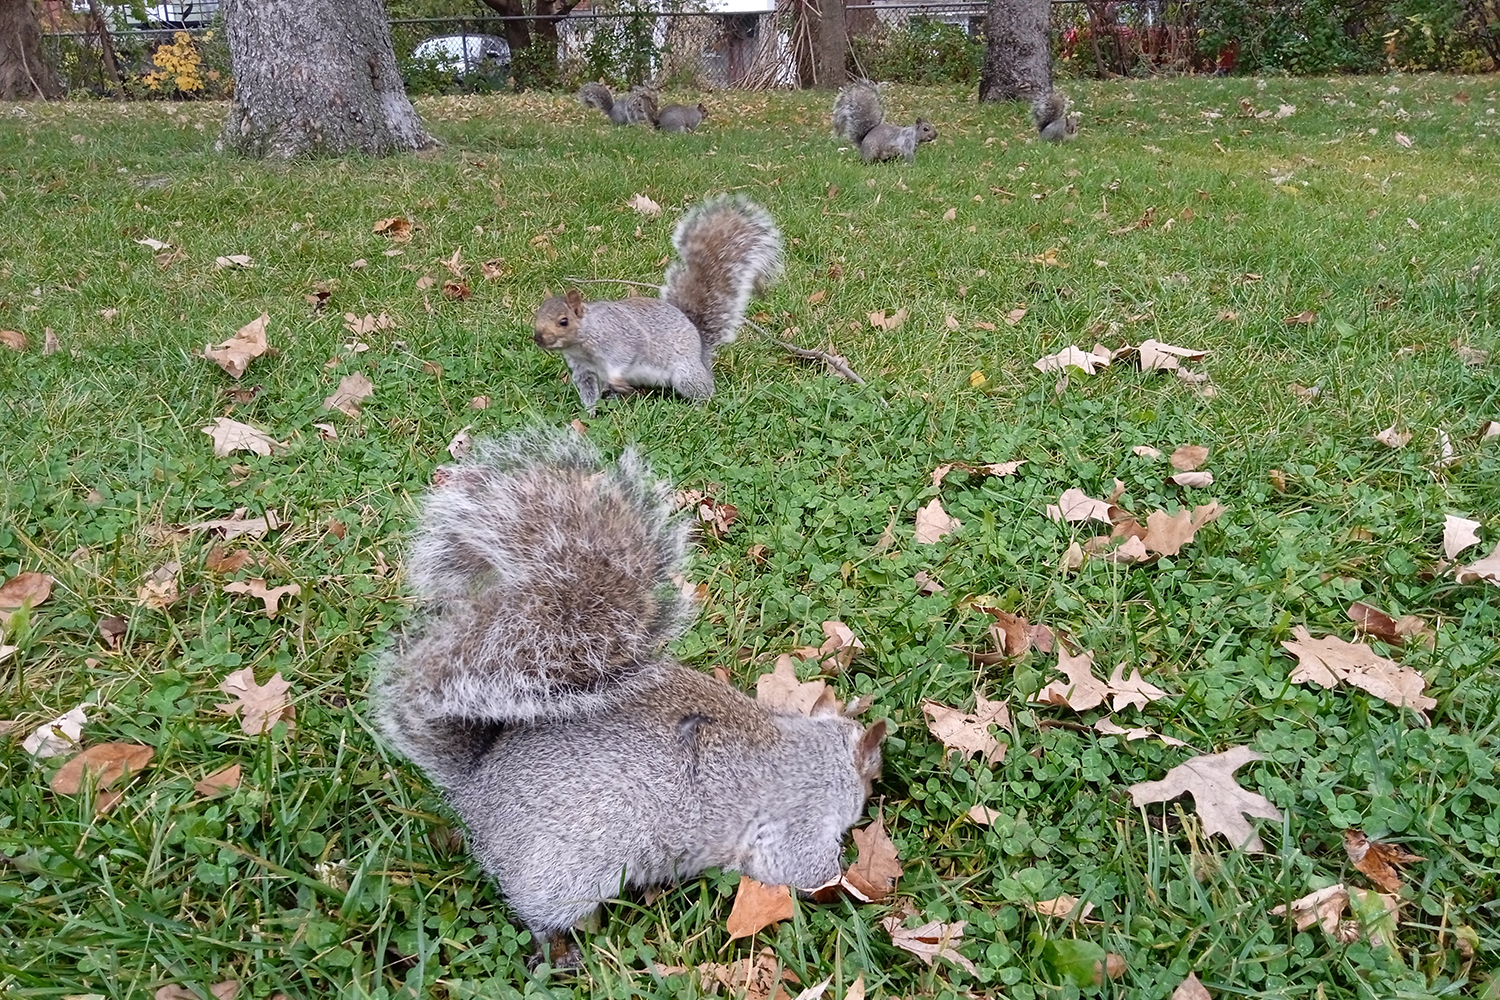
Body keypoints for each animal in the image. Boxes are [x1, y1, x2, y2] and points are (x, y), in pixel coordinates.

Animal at [373, 428, 882, 971]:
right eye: (872, 773)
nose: (877, 787)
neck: (815, 748)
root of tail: (474, 791)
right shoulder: (798, 823)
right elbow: (807, 869)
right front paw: (856, 886)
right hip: (567, 871)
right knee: (540, 914)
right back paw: (562, 952)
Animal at [531, 193, 786, 413]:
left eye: (564, 321)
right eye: (537, 316)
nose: (538, 338)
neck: (584, 338)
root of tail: (701, 349)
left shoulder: (620, 339)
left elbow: (624, 357)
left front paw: (615, 380)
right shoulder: (583, 370)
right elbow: (588, 390)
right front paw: (591, 412)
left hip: (686, 374)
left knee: (704, 391)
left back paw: (699, 406)